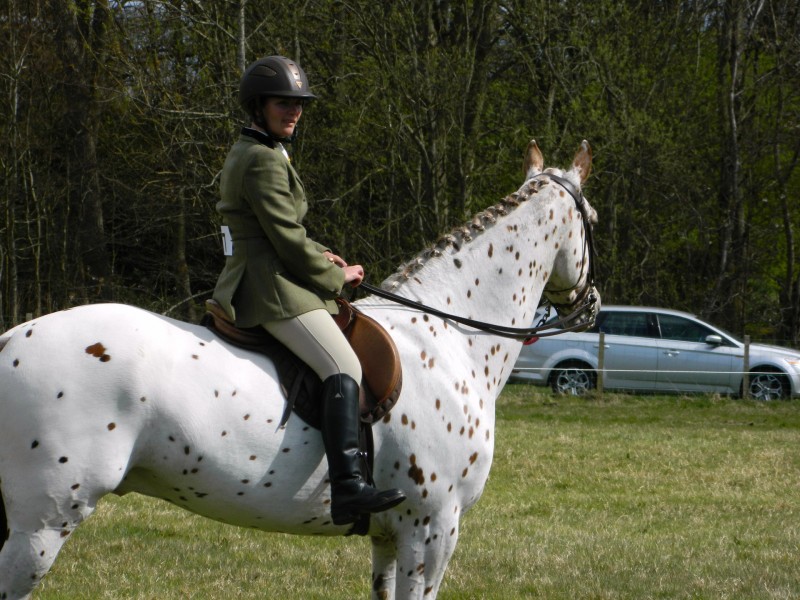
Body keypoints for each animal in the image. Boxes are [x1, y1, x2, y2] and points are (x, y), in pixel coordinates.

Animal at [0, 142, 596, 600]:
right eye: (593, 220)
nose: (589, 306)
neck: (448, 335)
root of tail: (10, 339)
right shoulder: (432, 527)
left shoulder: (392, 536)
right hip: (41, 524)